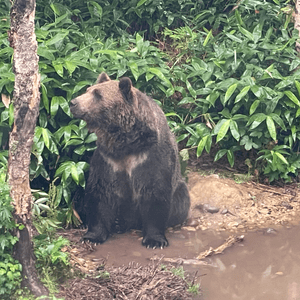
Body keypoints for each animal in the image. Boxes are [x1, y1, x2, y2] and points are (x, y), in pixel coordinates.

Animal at [69, 73, 190, 248]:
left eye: (98, 95)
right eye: (88, 90)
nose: (73, 103)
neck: (126, 142)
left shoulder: (150, 155)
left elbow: (155, 192)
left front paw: (154, 240)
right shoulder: (108, 158)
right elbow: (100, 192)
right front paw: (92, 236)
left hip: (180, 189)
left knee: (181, 202)